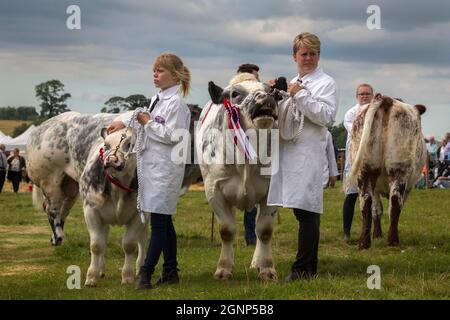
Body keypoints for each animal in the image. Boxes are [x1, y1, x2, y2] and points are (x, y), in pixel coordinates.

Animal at [196, 73, 282, 280]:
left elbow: (264, 231)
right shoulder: (214, 191)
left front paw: (267, 268)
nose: (264, 98)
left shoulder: (270, 192)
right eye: (235, 94)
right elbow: (226, 231)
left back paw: (257, 262)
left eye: (271, 91)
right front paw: (223, 269)